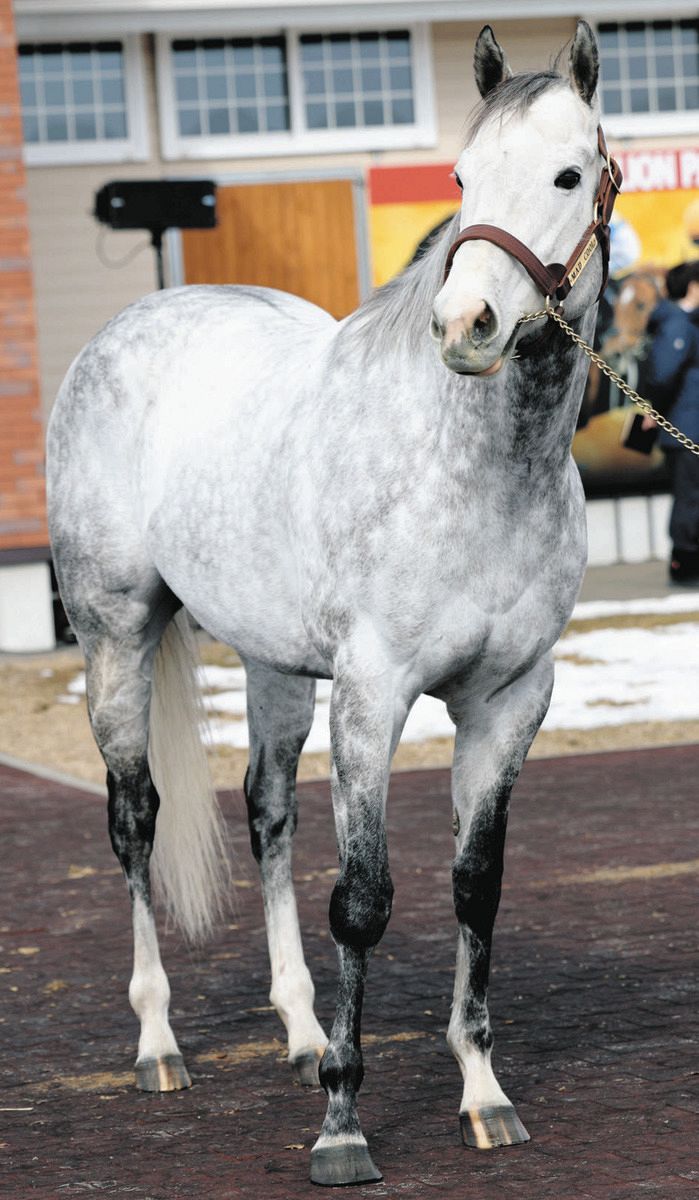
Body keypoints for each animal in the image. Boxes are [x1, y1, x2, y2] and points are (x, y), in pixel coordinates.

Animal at [47, 21, 614, 1187]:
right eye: (461, 175)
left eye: (568, 175)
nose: (466, 324)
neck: (474, 470)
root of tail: (131, 323)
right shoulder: (373, 697)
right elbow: (363, 901)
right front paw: (344, 1126)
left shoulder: (508, 703)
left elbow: (473, 886)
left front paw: (481, 1092)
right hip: (114, 633)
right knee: (134, 819)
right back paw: (160, 1042)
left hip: (271, 665)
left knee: (268, 809)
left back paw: (304, 1032)